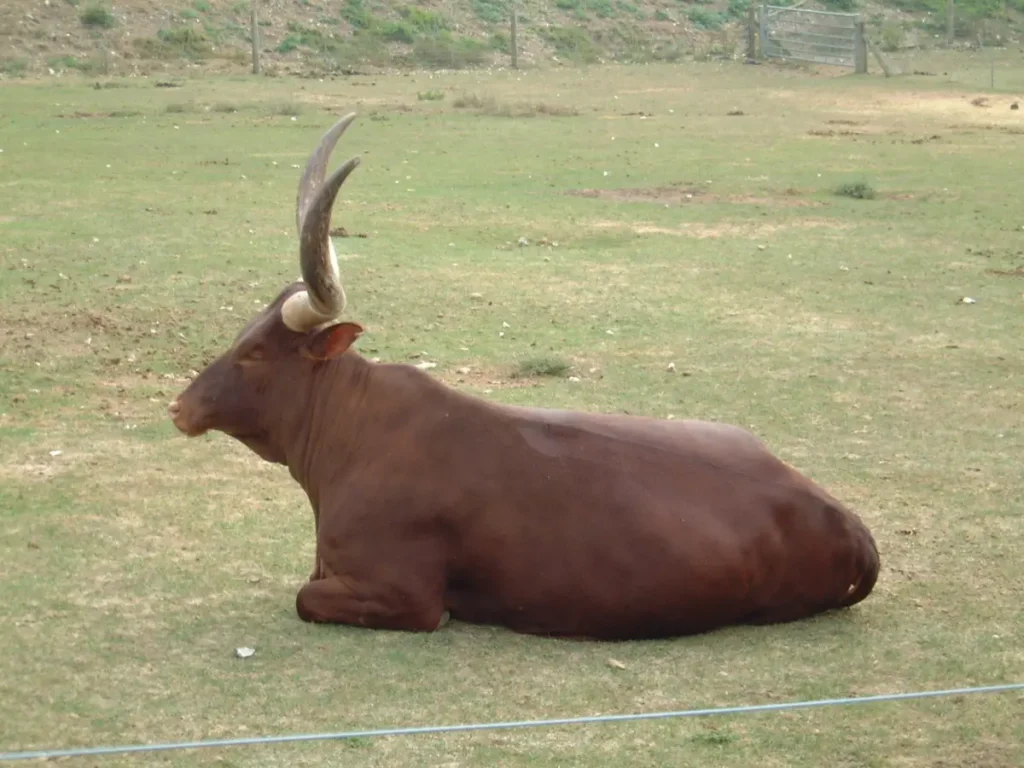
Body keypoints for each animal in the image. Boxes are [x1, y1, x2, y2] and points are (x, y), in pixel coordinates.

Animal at [168, 113, 880, 641]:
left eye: (257, 352)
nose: (180, 407)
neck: (354, 435)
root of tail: (845, 520)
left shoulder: (404, 596)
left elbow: (304, 597)